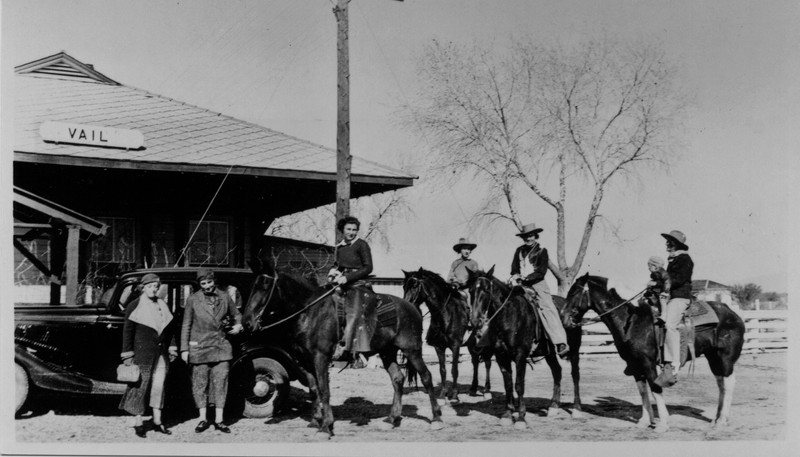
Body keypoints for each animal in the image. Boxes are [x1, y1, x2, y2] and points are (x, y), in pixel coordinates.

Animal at [244, 266, 444, 436]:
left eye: (265, 286)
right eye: (252, 286)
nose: (246, 323)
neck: (312, 312)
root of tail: (412, 307)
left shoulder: (321, 357)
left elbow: (324, 389)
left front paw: (326, 426)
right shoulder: (305, 360)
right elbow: (314, 389)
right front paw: (316, 421)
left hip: (412, 350)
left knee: (426, 377)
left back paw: (436, 419)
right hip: (388, 352)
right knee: (397, 379)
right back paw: (391, 419)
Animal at [400, 268, 494, 400]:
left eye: (414, 285)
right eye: (404, 286)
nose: (405, 306)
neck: (446, 315)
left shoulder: (455, 346)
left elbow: (454, 370)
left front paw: (454, 394)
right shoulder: (439, 347)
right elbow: (442, 370)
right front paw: (443, 393)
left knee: (487, 362)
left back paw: (486, 390)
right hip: (472, 345)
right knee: (475, 362)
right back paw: (473, 389)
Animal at [466, 268, 572, 428]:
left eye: (486, 290)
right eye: (471, 291)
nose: (475, 321)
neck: (509, 316)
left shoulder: (520, 356)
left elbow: (519, 385)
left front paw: (521, 417)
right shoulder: (501, 356)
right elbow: (508, 385)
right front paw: (507, 415)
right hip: (549, 353)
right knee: (557, 371)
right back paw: (553, 406)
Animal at [564, 274, 744, 432]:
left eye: (573, 292)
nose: (564, 318)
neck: (631, 321)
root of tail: (733, 314)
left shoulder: (648, 362)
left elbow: (655, 387)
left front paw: (663, 423)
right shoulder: (635, 364)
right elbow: (643, 391)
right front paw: (644, 421)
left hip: (725, 357)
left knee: (729, 383)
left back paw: (722, 421)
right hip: (713, 357)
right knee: (721, 384)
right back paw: (717, 418)